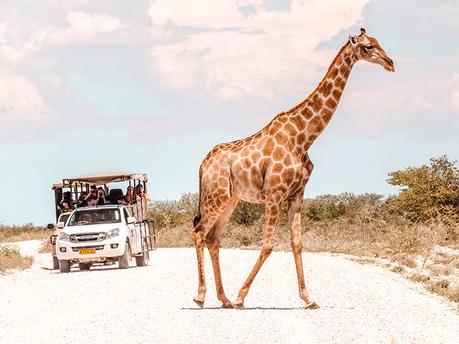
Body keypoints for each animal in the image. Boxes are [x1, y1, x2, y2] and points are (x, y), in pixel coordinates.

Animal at [190, 28, 396, 310]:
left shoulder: (297, 195)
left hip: (230, 199)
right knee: (199, 233)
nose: (390, 63)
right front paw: (243, 296)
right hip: (215, 196)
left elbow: (297, 243)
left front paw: (308, 299)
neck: (304, 137)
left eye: (377, 42)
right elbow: (268, 245)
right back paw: (201, 296)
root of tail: (203, 164)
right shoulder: (274, 194)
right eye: (367, 47)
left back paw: (224, 299)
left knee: (213, 239)